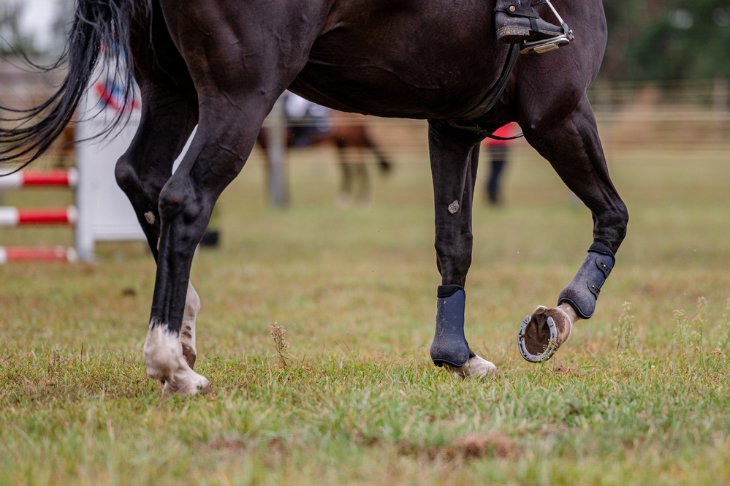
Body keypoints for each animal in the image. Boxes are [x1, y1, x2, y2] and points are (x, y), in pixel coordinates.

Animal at [0, 0, 624, 394]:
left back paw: (185, 330)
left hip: (171, 85)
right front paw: (560, 315)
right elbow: (613, 216)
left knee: (141, 176)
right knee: (186, 198)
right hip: (241, 94)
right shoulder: (559, 112)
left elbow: (455, 241)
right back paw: (171, 362)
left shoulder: (454, 127)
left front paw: (458, 355)